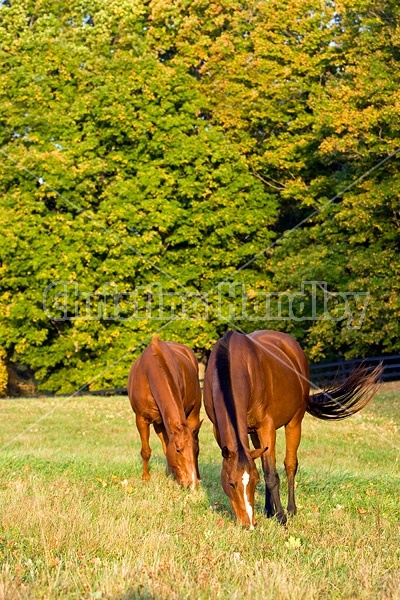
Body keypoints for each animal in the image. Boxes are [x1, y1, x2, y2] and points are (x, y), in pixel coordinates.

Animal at [128, 336, 203, 490]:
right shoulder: (141, 419)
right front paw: (146, 478)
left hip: (193, 414)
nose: (192, 484)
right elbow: (146, 451)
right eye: (178, 450)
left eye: (192, 450)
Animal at [205, 330, 382, 528]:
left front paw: (281, 517)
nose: (249, 524)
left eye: (254, 481)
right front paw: (271, 512)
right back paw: (269, 510)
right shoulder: (220, 431)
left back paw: (290, 509)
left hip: (294, 422)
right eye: (231, 483)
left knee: (290, 465)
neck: (232, 365)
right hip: (255, 433)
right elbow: (264, 468)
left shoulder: (267, 426)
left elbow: (271, 475)